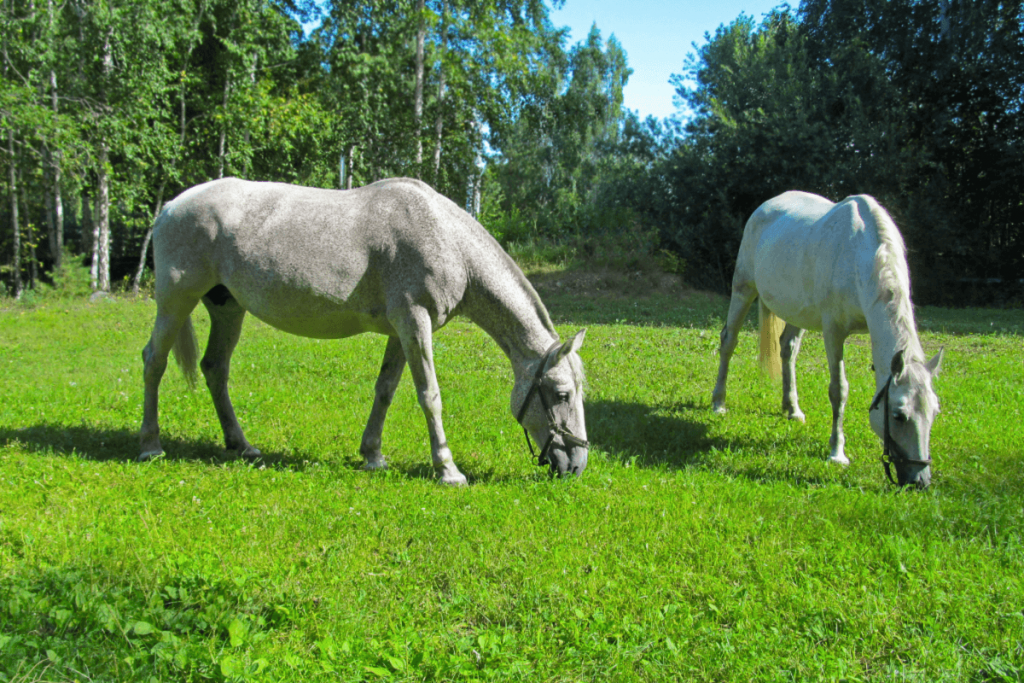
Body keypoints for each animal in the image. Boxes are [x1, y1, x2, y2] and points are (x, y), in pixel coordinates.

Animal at [140, 178, 589, 485]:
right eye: (561, 394)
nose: (577, 464)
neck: (444, 236)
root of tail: (171, 206)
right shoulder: (414, 321)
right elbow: (430, 395)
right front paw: (447, 469)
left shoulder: (401, 330)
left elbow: (386, 389)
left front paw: (372, 454)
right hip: (176, 300)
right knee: (154, 362)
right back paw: (151, 445)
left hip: (227, 308)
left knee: (215, 368)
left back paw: (241, 444)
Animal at [712, 189, 942, 489]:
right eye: (898, 415)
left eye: (934, 413)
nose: (920, 481)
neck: (861, 256)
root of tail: (767, 205)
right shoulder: (833, 332)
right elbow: (838, 390)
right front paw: (837, 453)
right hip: (743, 289)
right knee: (729, 342)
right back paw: (719, 403)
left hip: (797, 313)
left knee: (787, 349)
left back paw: (792, 409)